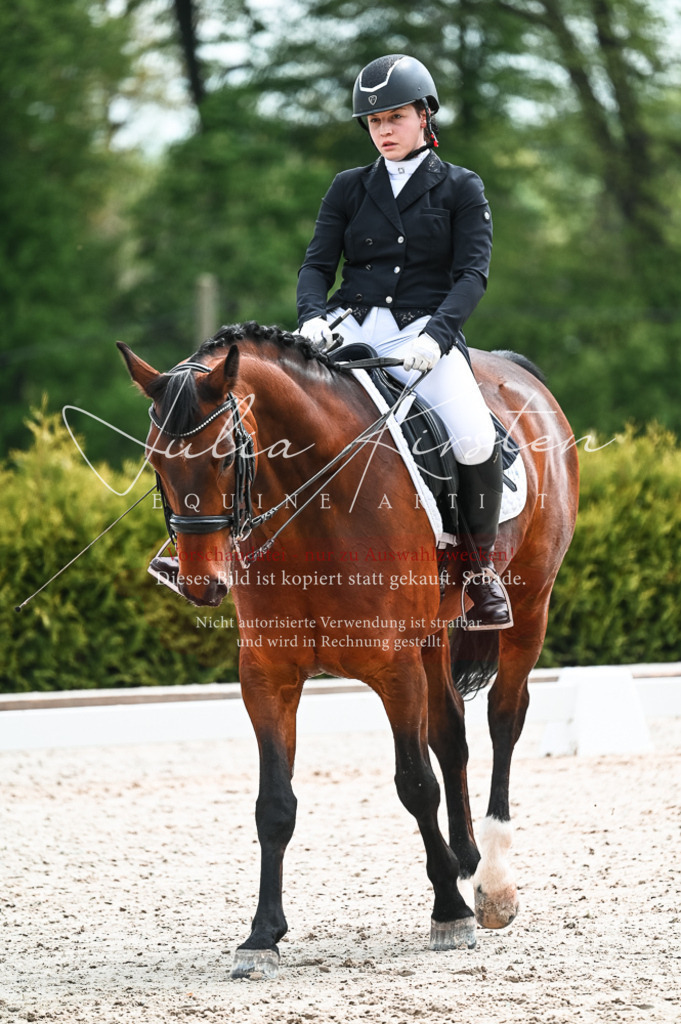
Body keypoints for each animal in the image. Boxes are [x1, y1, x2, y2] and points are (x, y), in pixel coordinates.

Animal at [118, 322, 578, 979]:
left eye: (227, 455)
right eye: (154, 459)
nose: (202, 583)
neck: (313, 507)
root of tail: (516, 371)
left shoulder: (394, 668)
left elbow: (415, 784)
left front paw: (449, 913)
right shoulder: (268, 675)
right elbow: (274, 804)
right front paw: (262, 936)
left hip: (530, 605)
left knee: (503, 721)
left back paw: (491, 885)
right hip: (434, 636)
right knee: (453, 734)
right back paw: (465, 859)